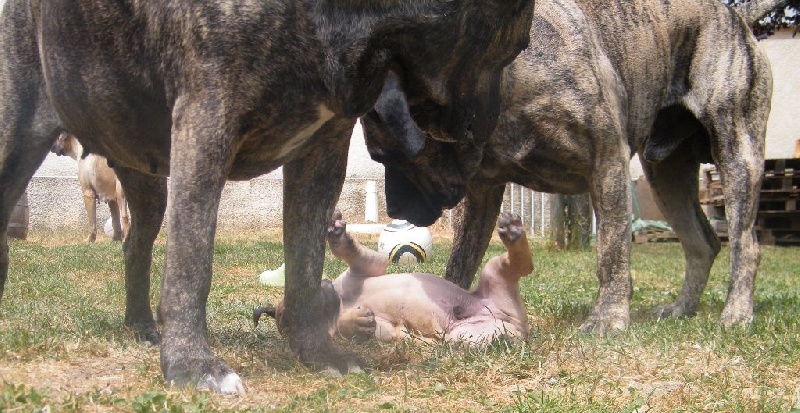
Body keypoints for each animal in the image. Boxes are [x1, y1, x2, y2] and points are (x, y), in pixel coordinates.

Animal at [256, 211, 532, 342]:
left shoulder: (367, 267)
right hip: (465, 337)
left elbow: (352, 252)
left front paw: (338, 237)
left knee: (521, 266)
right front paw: (353, 322)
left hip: (492, 271)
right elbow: (351, 329)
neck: (339, 304)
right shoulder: (386, 331)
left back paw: (513, 233)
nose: (324, 293)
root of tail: (517, 324)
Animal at [364, 0, 780, 332]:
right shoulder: (481, 194)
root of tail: (737, 16)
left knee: (745, 243)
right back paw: (682, 309)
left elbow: (611, 251)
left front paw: (608, 318)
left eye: (391, 156)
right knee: (702, 243)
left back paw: (737, 312)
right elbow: (461, 258)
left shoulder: (607, 162)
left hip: (736, 150)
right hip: (667, 175)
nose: (395, 210)